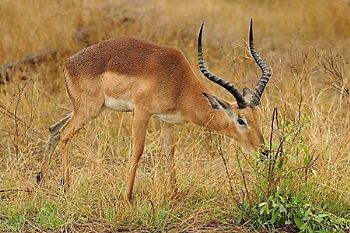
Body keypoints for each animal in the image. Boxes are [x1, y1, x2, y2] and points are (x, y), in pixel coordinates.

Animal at [37, 19, 270, 200]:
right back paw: (66, 187)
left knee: (54, 129)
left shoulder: (166, 120)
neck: (178, 83)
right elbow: (137, 152)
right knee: (65, 136)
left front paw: (175, 193)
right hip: (89, 110)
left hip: (86, 109)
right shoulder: (142, 112)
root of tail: (68, 63)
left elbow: (170, 152)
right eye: (241, 120)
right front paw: (127, 197)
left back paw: (40, 179)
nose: (265, 152)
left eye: (259, 117)